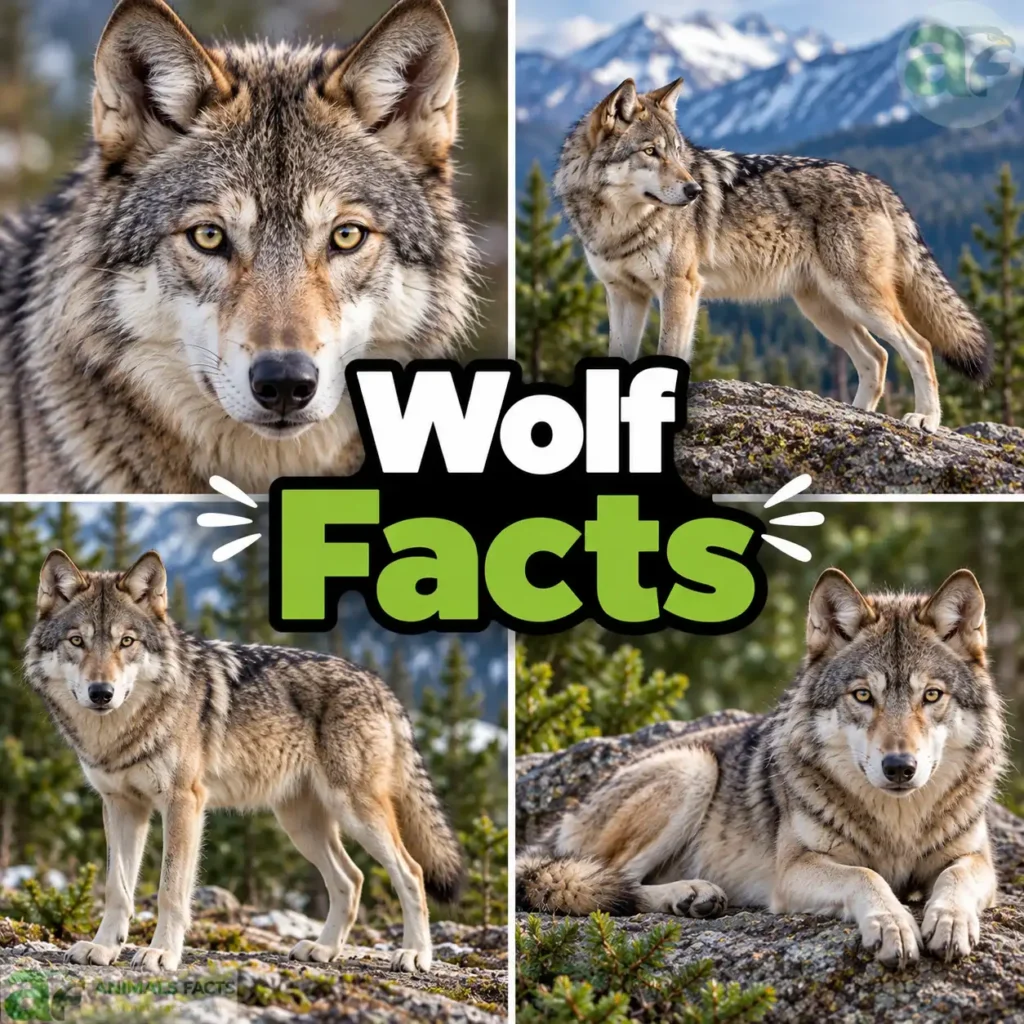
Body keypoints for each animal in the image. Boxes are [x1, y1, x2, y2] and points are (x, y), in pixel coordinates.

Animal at [24, 549, 463, 973]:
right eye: (77, 641)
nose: (101, 692)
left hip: (356, 812)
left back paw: (415, 955)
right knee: (351, 878)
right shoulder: (121, 806)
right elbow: (117, 889)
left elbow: (170, 890)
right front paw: (103, 948)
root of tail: (377, 683)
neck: (119, 733)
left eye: (126, 642)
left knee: (411, 872)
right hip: (301, 824)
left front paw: (161, 953)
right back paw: (323, 949)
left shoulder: (183, 803)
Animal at [517, 568, 1007, 967]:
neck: (897, 824)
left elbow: (955, 878)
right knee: (605, 884)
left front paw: (949, 922)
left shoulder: (975, 858)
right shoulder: (793, 871)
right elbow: (866, 876)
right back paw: (690, 894)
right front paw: (893, 924)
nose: (900, 767)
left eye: (932, 696)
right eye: (863, 696)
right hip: (693, 768)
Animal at [555, 78, 991, 432]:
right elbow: (618, 356)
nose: (695, 191)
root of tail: (880, 185)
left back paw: (926, 418)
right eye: (650, 151)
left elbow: (670, 353)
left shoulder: (680, 289)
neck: (618, 223)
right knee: (878, 357)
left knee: (919, 346)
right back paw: (857, 414)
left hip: (858, 300)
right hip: (822, 310)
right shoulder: (624, 294)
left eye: (677, 154)